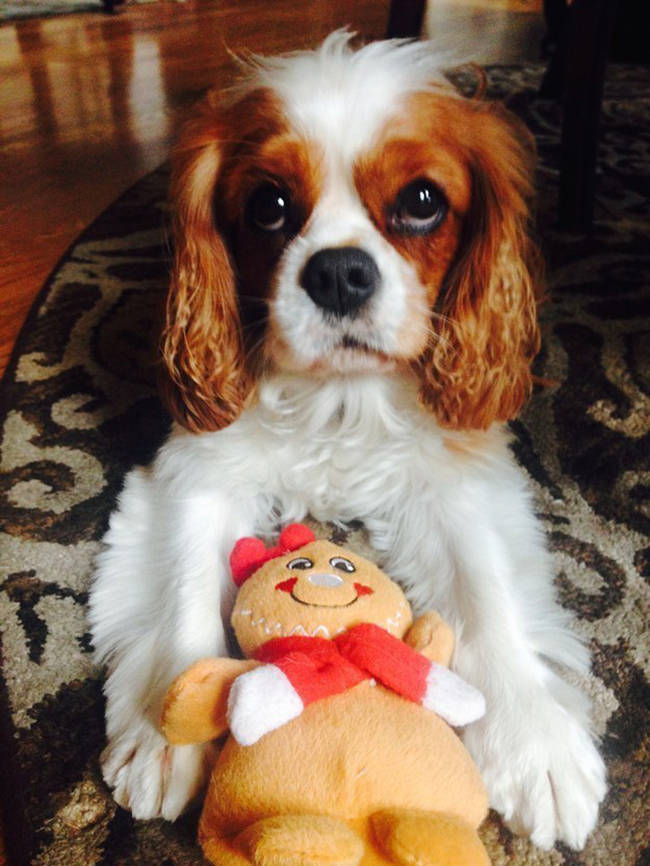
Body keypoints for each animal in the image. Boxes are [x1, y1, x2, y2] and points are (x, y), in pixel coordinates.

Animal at [88, 32, 604, 852]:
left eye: (422, 202)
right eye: (268, 206)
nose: (337, 272)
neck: (339, 397)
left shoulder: (459, 477)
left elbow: (487, 590)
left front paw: (536, 742)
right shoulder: (194, 467)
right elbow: (185, 579)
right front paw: (164, 735)